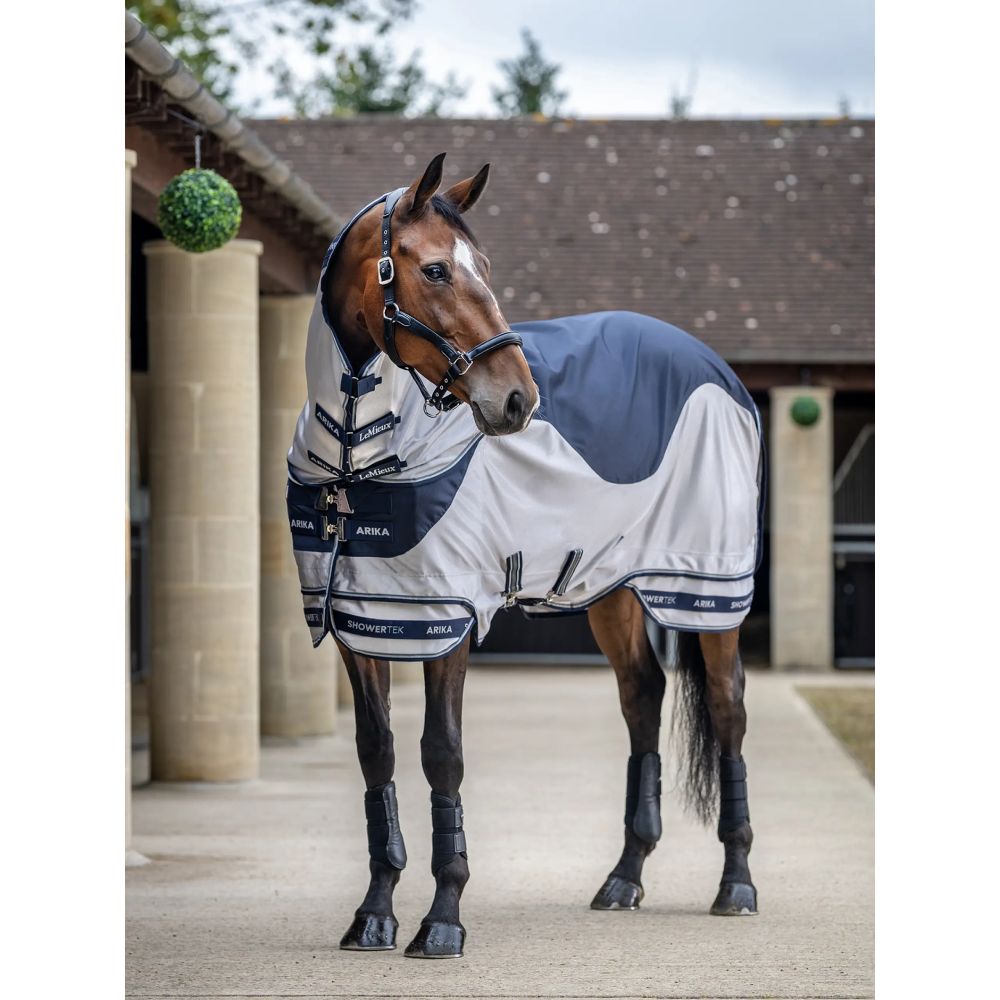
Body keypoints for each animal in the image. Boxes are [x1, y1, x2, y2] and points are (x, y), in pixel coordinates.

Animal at [284, 153, 762, 959]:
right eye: (435, 269)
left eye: (485, 267)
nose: (516, 400)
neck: (356, 449)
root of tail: (721, 375)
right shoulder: (360, 621)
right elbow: (376, 753)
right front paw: (374, 914)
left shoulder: (446, 619)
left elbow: (442, 754)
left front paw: (443, 920)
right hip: (612, 592)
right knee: (642, 700)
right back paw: (624, 878)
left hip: (704, 593)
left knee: (727, 712)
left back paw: (736, 885)